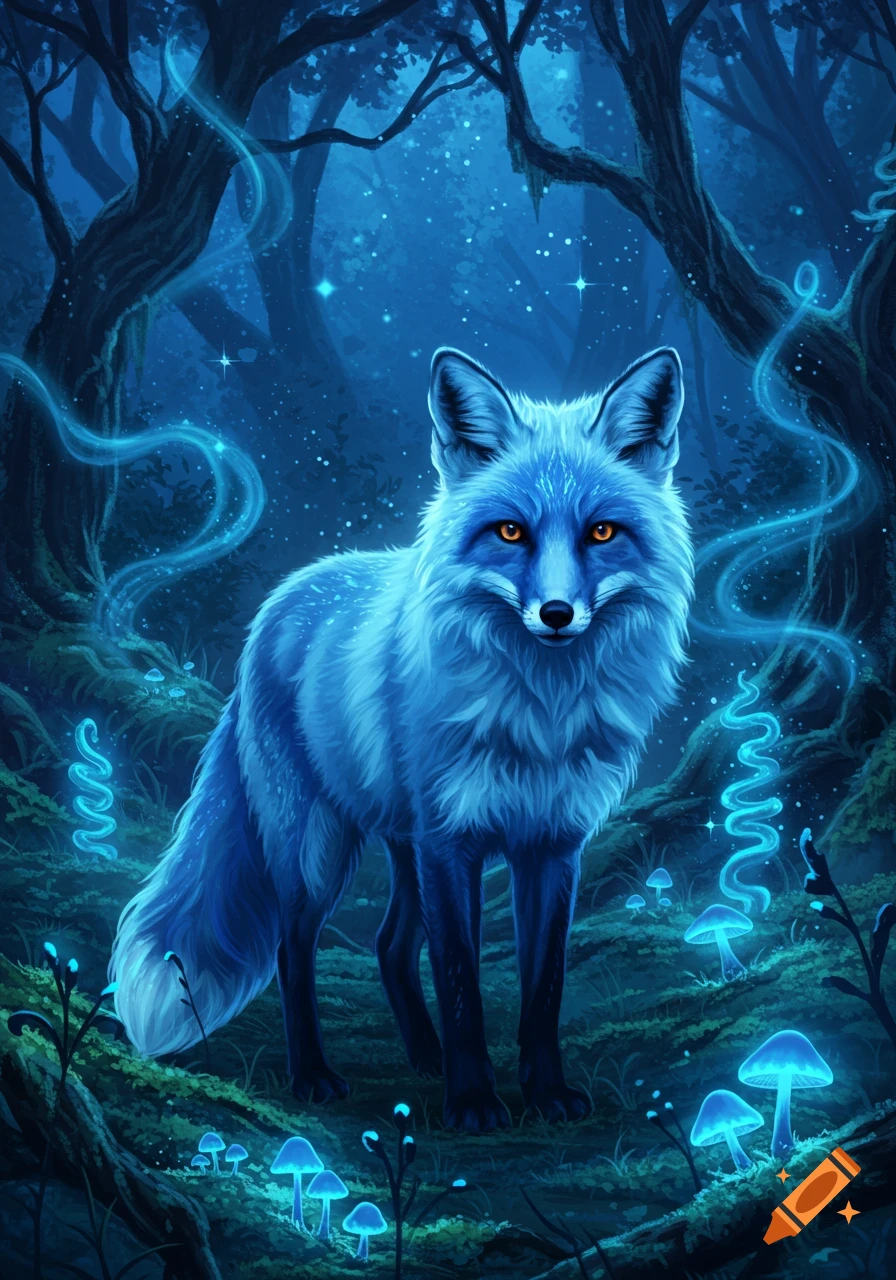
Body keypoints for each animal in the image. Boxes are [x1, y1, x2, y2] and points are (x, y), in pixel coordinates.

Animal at [110, 345, 694, 1132]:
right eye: (510, 532)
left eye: (602, 532)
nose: (556, 613)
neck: (539, 713)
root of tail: (280, 602)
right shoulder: (452, 841)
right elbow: (460, 981)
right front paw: (473, 1102)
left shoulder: (551, 844)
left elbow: (544, 988)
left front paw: (544, 1093)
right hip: (318, 847)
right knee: (296, 950)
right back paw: (314, 1075)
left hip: (402, 845)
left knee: (388, 946)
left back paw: (423, 1057)